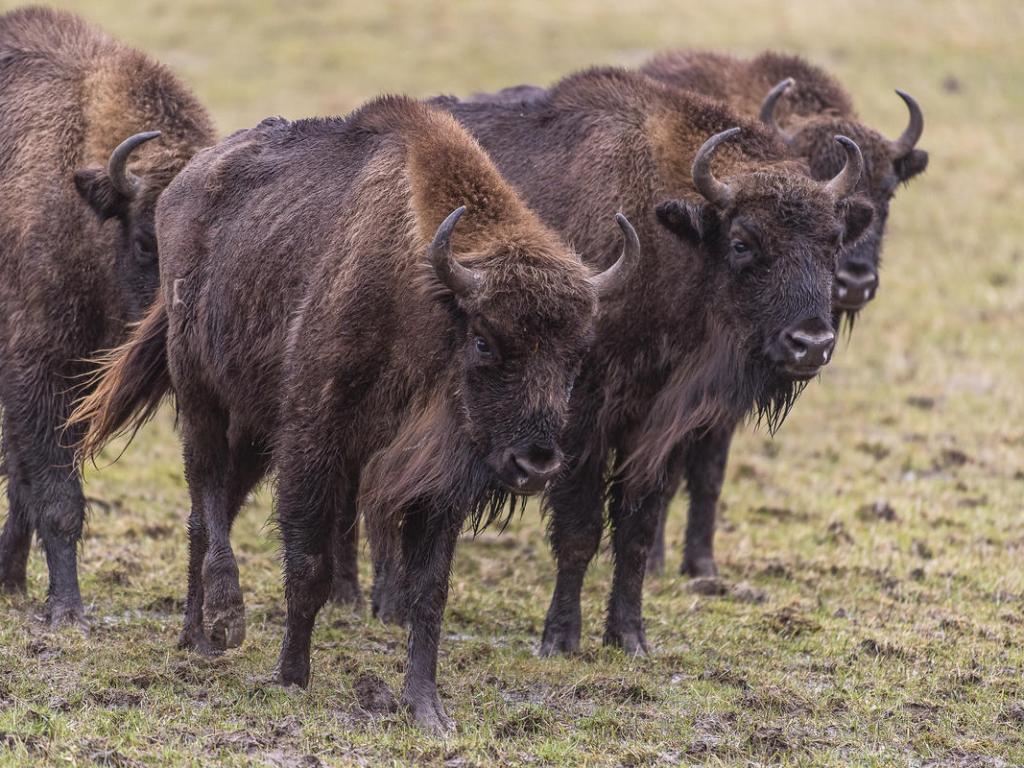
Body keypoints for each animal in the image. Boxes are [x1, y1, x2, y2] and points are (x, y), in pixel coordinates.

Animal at [0, 6, 212, 622]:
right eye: (146, 242)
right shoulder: (37, 371)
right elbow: (56, 495)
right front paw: (67, 611)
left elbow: (26, 482)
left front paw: (21, 583)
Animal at [72, 96, 626, 733]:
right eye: (484, 341)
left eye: (576, 352)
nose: (536, 464)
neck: (428, 298)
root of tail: (181, 187)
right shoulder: (314, 441)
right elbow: (309, 563)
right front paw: (291, 676)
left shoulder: (438, 482)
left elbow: (429, 592)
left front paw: (427, 708)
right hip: (202, 395)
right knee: (207, 495)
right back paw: (223, 624)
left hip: (254, 430)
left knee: (206, 512)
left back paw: (196, 636)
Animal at [364, 69, 868, 659]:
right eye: (743, 242)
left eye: (833, 242)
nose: (811, 343)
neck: (669, 236)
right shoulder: (580, 427)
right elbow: (580, 531)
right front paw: (561, 638)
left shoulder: (652, 430)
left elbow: (636, 531)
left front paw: (630, 636)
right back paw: (381, 603)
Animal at [643, 49, 933, 577]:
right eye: (812, 177)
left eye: (887, 191)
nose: (854, 282)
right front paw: (656, 561)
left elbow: (709, 472)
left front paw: (703, 566)